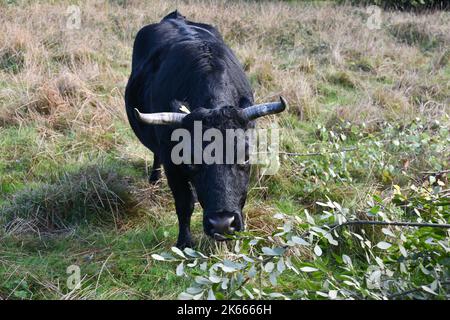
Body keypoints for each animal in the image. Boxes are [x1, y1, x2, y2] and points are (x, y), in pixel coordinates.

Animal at [124, 10, 284, 248]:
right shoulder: (172, 162)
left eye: (245, 156)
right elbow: (184, 203)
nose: (222, 223)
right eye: (191, 160)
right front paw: (184, 242)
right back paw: (154, 179)